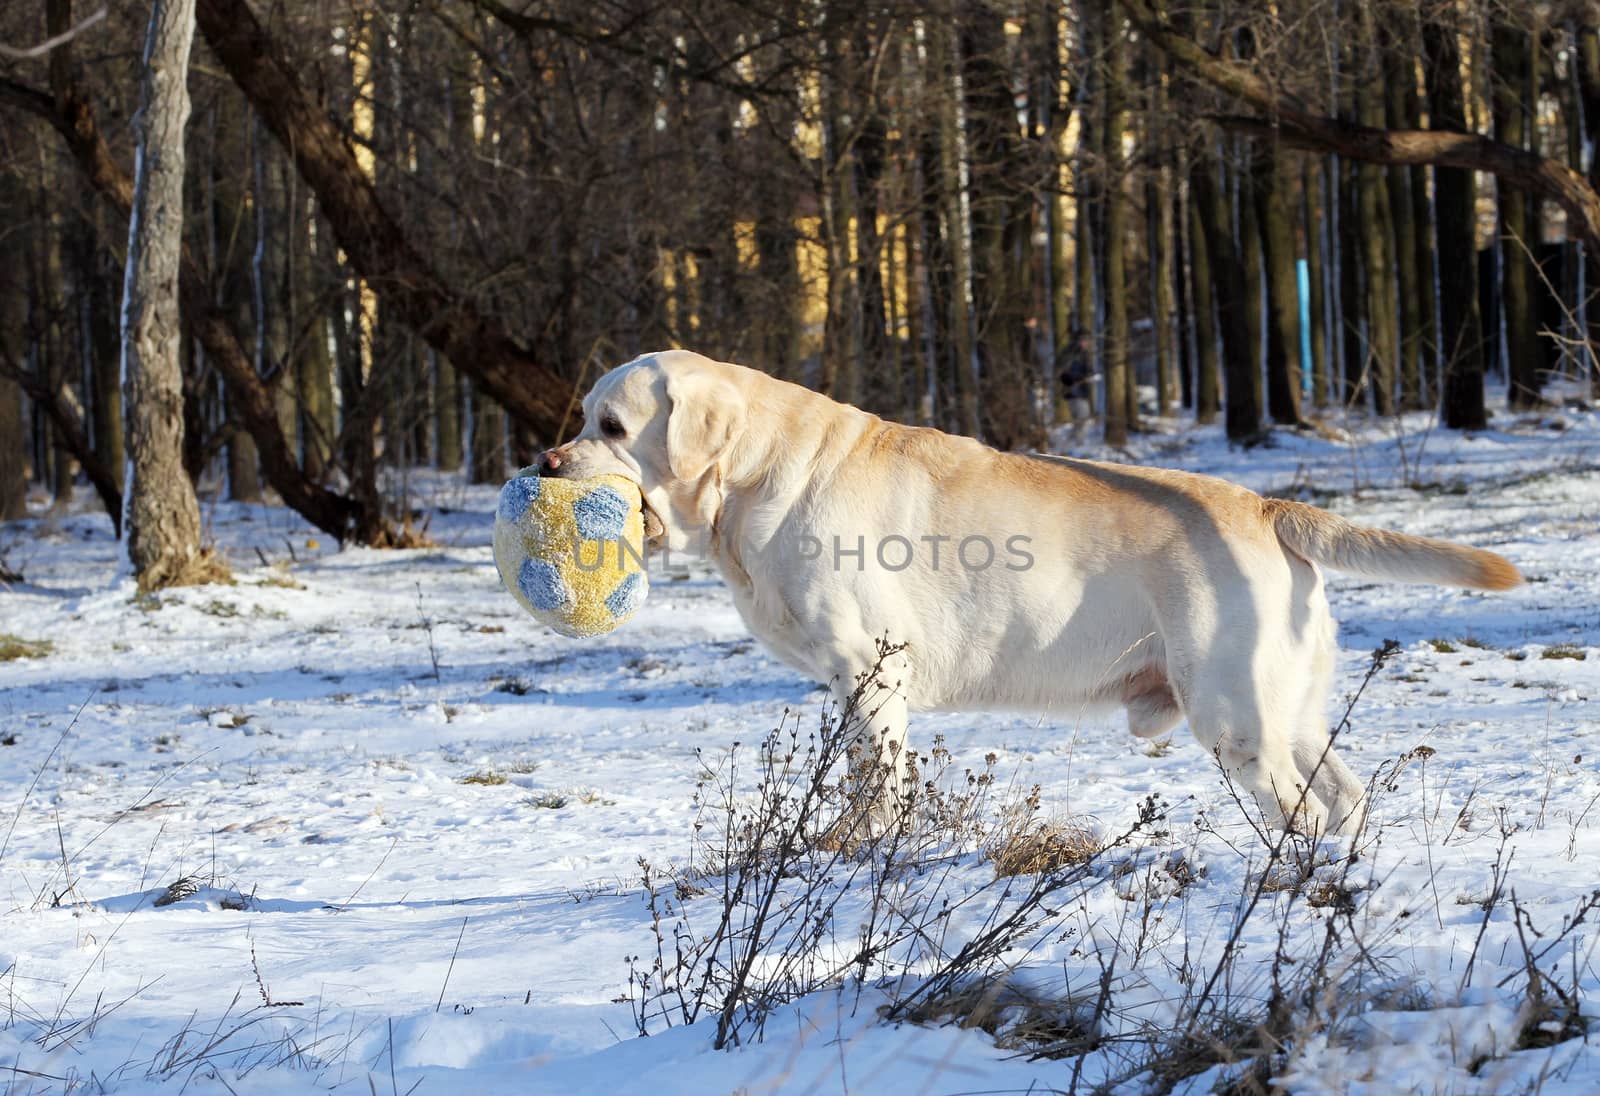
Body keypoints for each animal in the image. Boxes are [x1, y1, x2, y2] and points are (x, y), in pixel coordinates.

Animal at [534, 348, 1510, 832]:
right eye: (582, 419)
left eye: (611, 425)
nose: (545, 463)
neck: (759, 474)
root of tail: (1266, 505)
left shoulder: (870, 673)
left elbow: (874, 787)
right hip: (1290, 710)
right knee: (1342, 799)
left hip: (1233, 715)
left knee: (1300, 811)